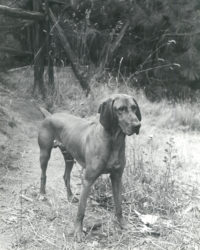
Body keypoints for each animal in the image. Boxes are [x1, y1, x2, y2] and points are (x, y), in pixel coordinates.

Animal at [37, 93, 141, 240]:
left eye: (134, 107)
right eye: (120, 109)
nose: (137, 125)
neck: (114, 141)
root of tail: (50, 116)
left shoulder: (117, 177)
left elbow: (119, 205)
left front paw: (123, 224)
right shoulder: (88, 180)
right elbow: (81, 210)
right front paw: (78, 231)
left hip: (69, 157)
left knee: (66, 176)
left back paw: (70, 196)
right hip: (45, 153)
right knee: (43, 175)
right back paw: (42, 194)